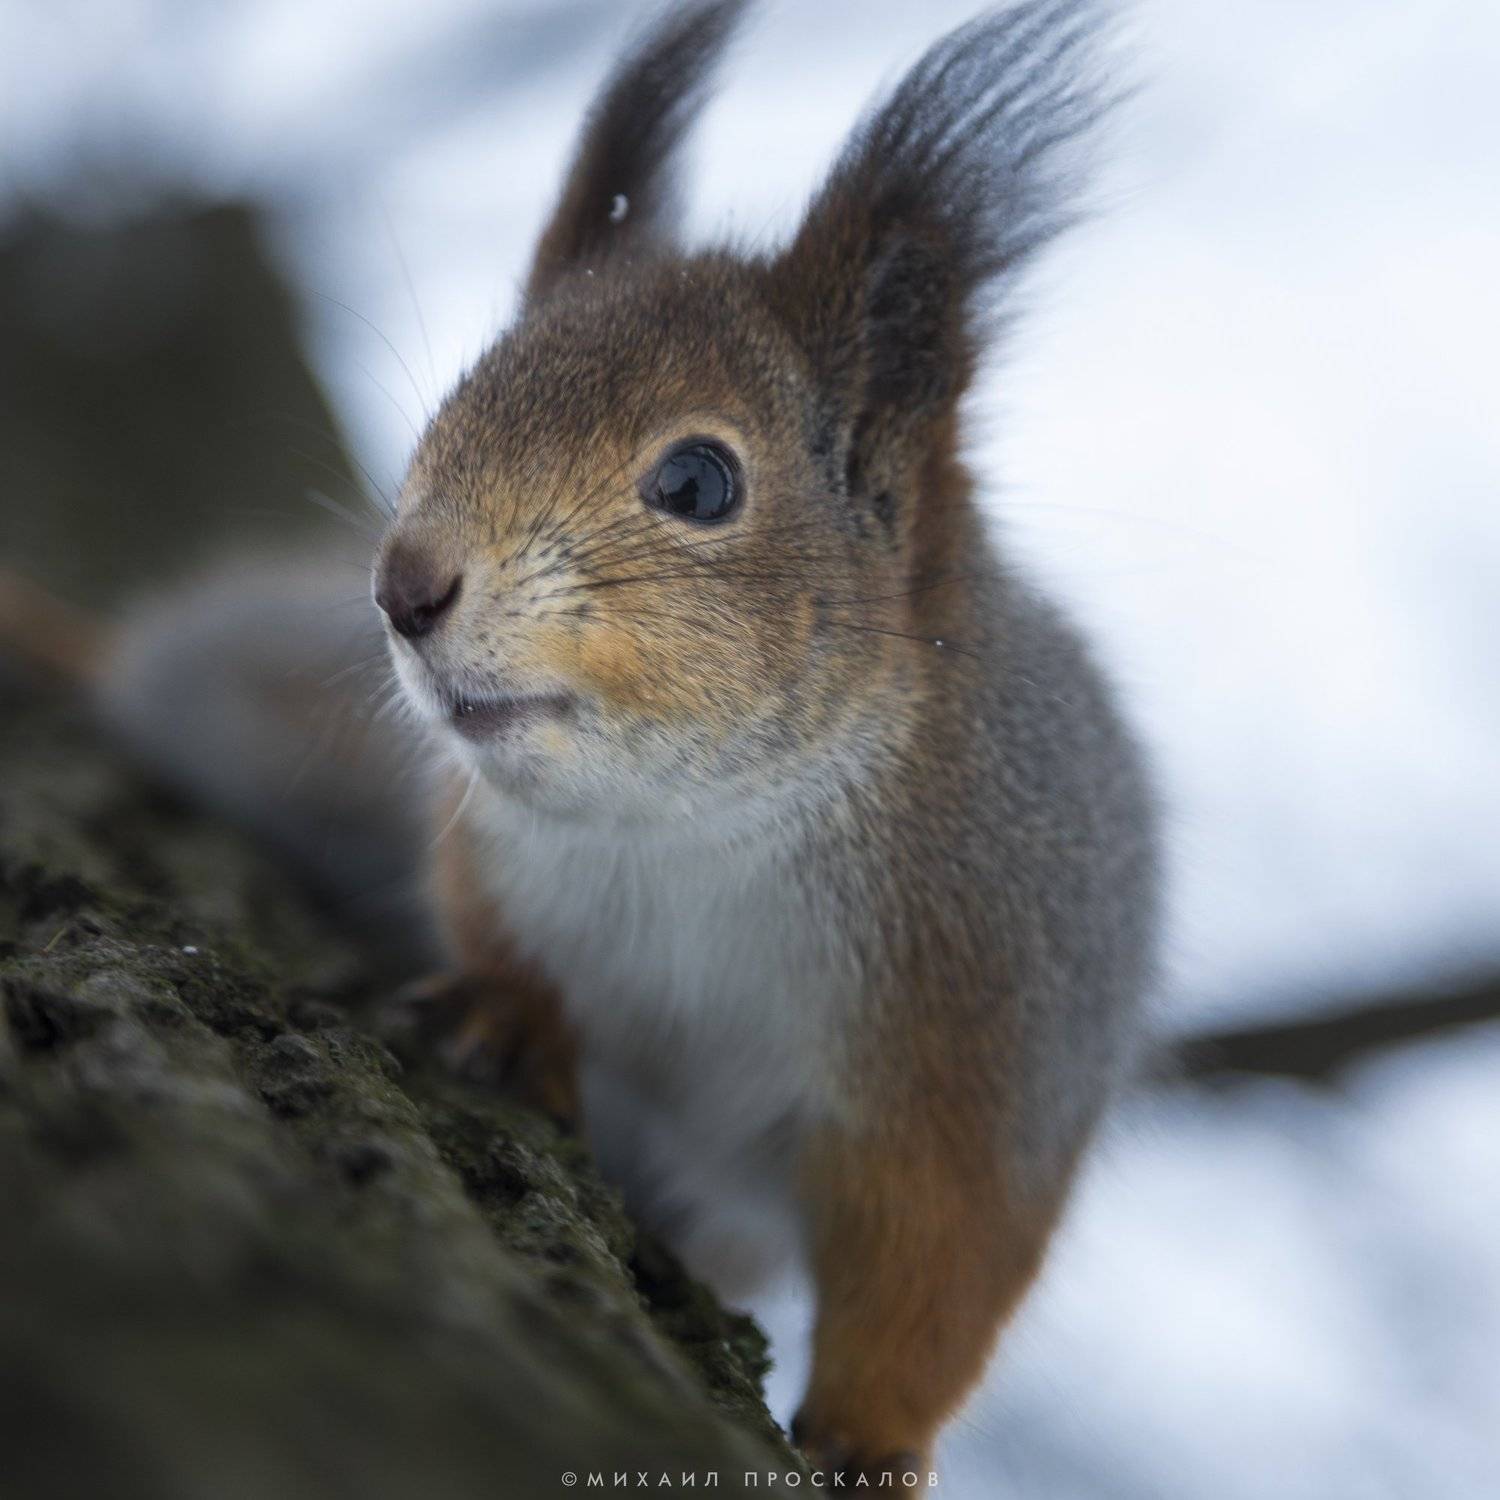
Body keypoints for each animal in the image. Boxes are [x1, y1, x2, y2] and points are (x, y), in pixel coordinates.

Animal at [0, 0, 1160, 1480]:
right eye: (462, 393)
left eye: (700, 481)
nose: (404, 584)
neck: (702, 824)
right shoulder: (487, 849)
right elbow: (496, 945)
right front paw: (508, 1016)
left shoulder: (992, 1031)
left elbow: (942, 1267)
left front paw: (870, 1442)